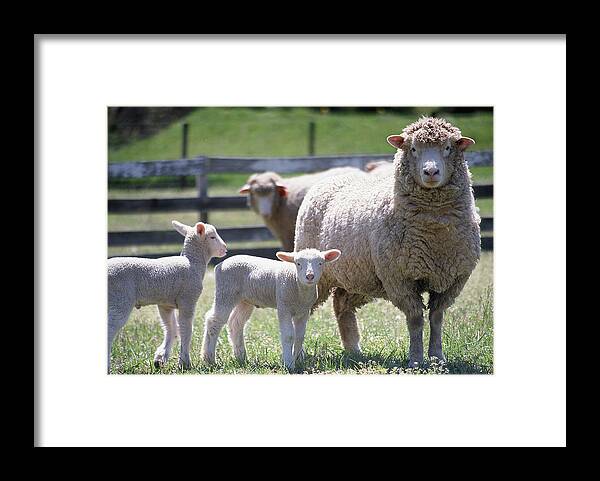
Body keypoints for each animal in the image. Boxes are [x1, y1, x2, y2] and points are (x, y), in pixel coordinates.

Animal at [108, 219, 227, 374]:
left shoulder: (165, 304)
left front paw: (160, 358)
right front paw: (185, 362)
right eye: (212, 237)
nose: (225, 248)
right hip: (120, 299)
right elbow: (186, 329)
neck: (192, 262)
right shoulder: (188, 299)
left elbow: (171, 328)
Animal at [292, 118, 480, 366]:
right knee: (304, 311)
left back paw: (353, 350)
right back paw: (300, 354)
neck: (435, 232)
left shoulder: (453, 279)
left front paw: (437, 358)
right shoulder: (399, 279)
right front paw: (416, 360)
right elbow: (416, 319)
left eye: (448, 147)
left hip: (358, 276)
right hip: (320, 276)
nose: (431, 171)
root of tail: (330, 179)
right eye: (413, 149)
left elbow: (437, 317)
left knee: (341, 304)